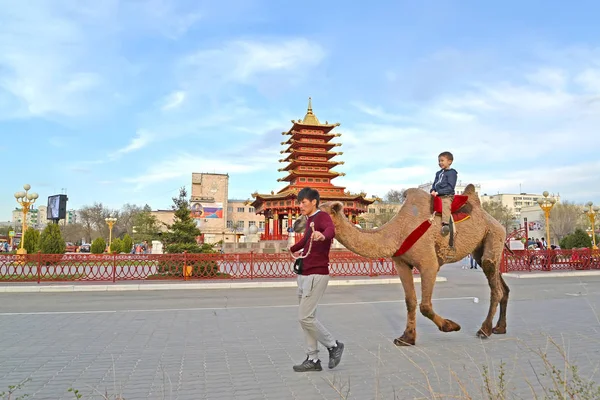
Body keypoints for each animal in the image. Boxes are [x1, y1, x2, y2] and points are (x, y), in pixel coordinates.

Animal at [310, 185, 510, 346]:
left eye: (320, 214)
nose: (302, 225)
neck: (399, 232)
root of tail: (496, 221)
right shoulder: (401, 264)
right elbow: (410, 301)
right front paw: (406, 338)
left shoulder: (429, 264)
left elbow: (425, 305)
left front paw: (451, 326)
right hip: (480, 248)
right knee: (502, 286)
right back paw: (500, 328)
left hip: (494, 235)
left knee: (494, 282)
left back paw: (484, 330)